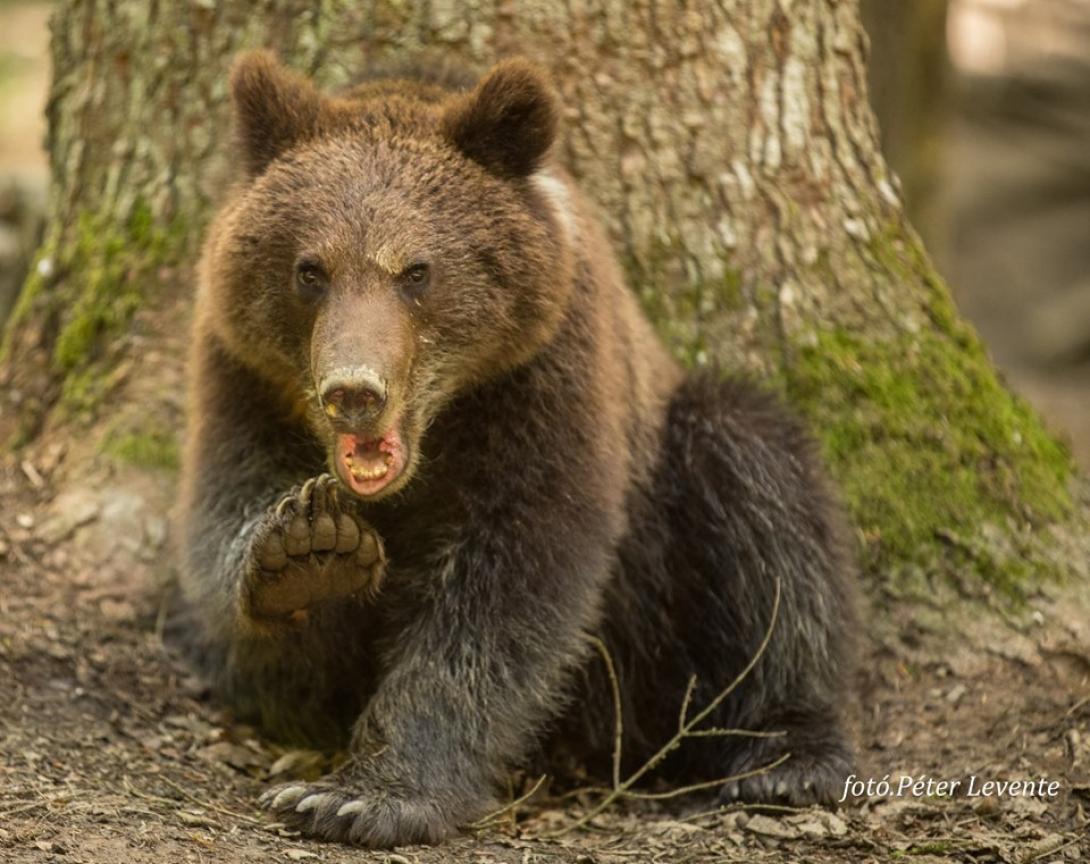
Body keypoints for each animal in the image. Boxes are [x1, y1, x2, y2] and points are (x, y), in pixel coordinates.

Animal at [176, 52, 858, 849]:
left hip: (669, 524)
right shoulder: (241, 378)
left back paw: (788, 756)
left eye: (417, 270)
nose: (354, 390)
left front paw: (363, 797)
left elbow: (508, 588)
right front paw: (309, 551)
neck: (438, 440)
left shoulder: (546, 380)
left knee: (765, 511)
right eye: (310, 269)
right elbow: (230, 525)